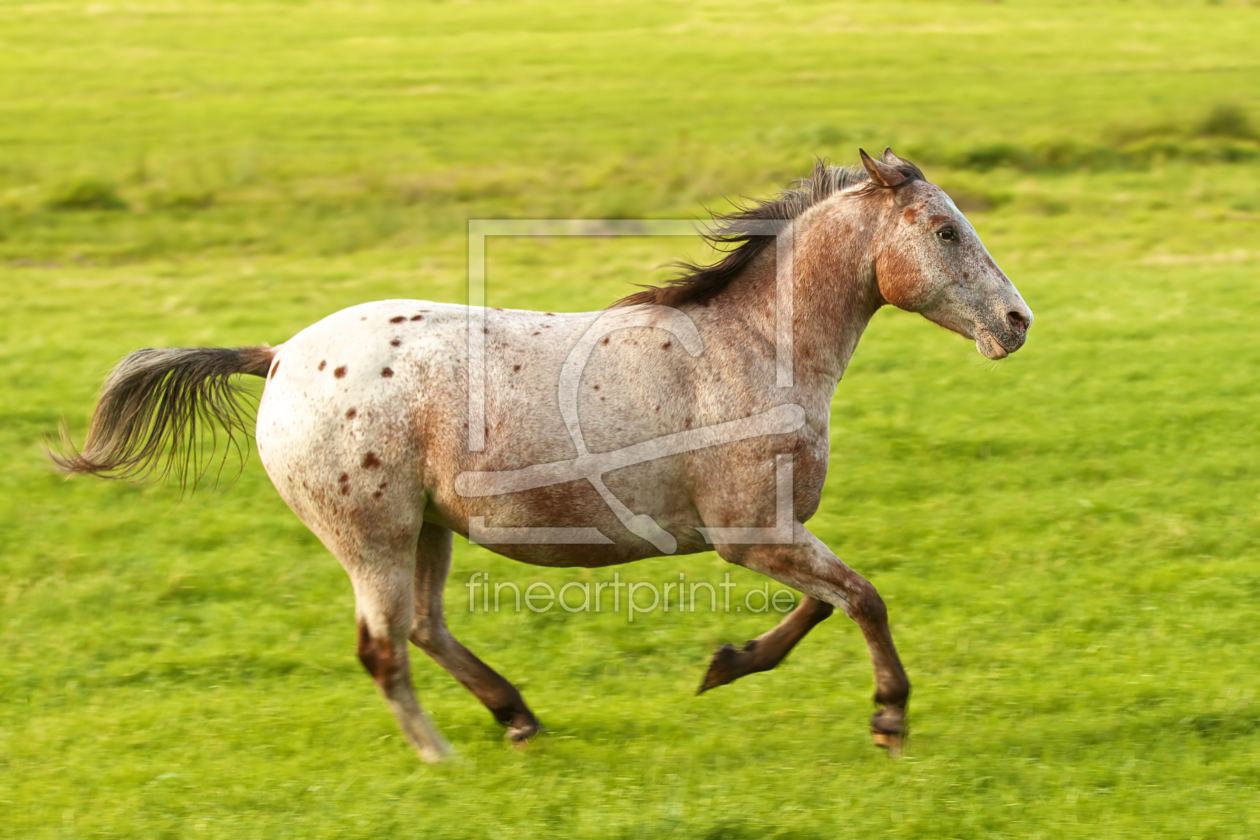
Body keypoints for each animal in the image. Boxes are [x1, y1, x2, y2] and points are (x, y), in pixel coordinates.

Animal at [51, 147, 1033, 760]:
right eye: (944, 230)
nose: (1018, 322)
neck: (752, 349)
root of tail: (282, 356)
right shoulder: (750, 534)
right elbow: (862, 598)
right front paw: (889, 717)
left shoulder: (768, 535)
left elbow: (825, 607)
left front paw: (725, 664)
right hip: (371, 535)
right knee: (385, 649)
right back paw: (443, 756)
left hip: (425, 530)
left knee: (423, 628)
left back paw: (517, 717)